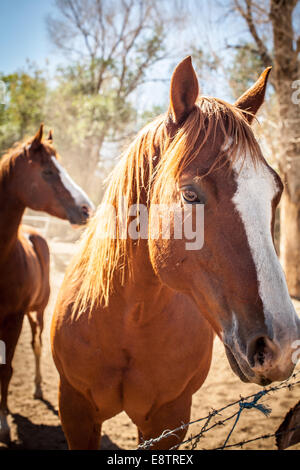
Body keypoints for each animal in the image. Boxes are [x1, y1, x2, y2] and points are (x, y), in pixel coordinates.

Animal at [0, 124, 94, 440]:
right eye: (48, 172)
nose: (87, 208)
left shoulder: (14, 318)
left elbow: (6, 369)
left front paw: (3, 425)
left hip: (38, 312)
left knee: (37, 344)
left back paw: (39, 387)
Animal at [51, 58, 300, 452]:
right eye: (189, 194)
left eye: (275, 192)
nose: (281, 346)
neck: (128, 319)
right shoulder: (75, 411)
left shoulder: (168, 422)